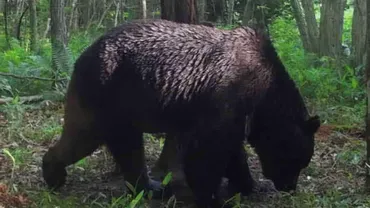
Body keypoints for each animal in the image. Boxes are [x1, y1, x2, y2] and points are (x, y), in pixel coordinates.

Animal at [41, 18, 320, 207]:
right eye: (298, 160)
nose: (289, 187)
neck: (264, 95)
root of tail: (82, 56)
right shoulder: (228, 96)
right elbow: (208, 152)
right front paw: (210, 196)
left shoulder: (234, 113)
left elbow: (232, 151)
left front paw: (248, 183)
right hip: (111, 94)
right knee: (107, 143)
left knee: (87, 136)